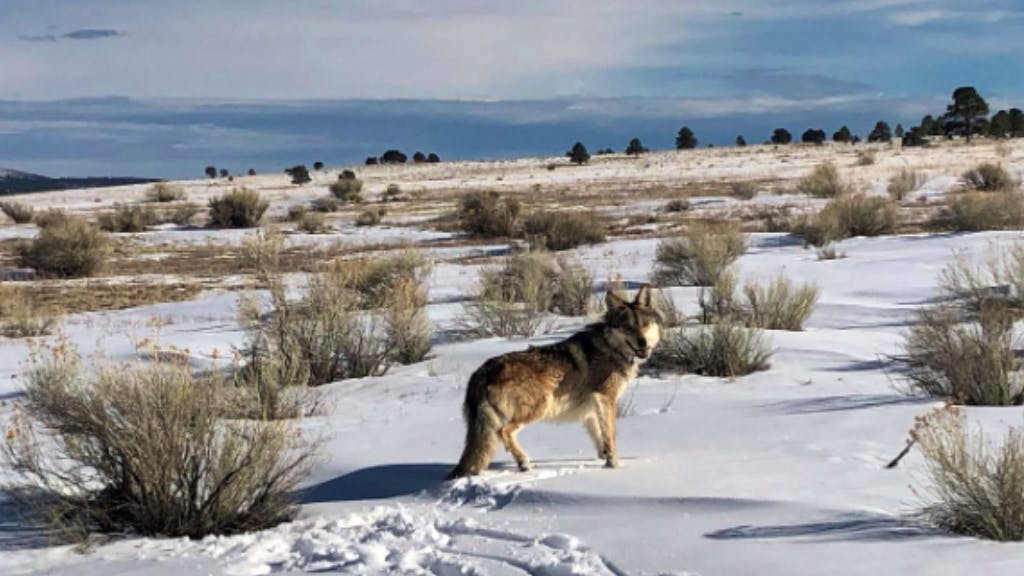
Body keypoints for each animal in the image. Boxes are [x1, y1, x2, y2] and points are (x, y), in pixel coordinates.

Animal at [447, 285, 662, 479]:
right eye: (628, 327)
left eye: (644, 325)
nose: (643, 343)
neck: (611, 349)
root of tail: (480, 372)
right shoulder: (605, 398)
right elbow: (610, 436)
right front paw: (615, 465)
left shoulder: (592, 409)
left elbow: (600, 437)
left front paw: (605, 458)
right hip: (539, 406)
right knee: (504, 431)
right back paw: (524, 463)